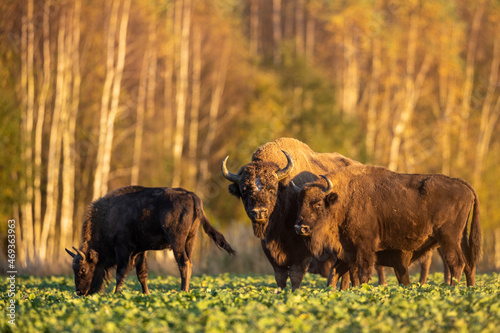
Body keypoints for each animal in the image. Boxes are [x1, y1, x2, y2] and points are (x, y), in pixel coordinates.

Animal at [65, 185, 235, 294]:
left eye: (83, 269)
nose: (79, 292)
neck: (108, 216)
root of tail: (192, 196)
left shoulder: (123, 249)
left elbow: (121, 273)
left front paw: (116, 294)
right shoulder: (141, 251)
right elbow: (142, 274)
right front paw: (146, 294)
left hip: (177, 241)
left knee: (183, 263)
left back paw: (183, 291)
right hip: (190, 240)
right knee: (190, 262)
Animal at [222, 137, 360, 288]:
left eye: (272, 189)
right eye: (244, 190)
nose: (259, 212)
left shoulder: (302, 249)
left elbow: (296, 274)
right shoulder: (269, 249)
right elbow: (280, 276)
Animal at [292, 166, 480, 286]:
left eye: (318, 204)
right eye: (300, 203)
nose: (300, 228)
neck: (342, 199)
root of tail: (463, 184)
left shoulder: (364, 249)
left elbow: (363, 274)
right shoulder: (347, 252)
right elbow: (334, 275)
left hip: (448, 238)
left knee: (457, 263)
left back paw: (452, 290)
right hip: (461, 238)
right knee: (469, 265)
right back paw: (469, 290)